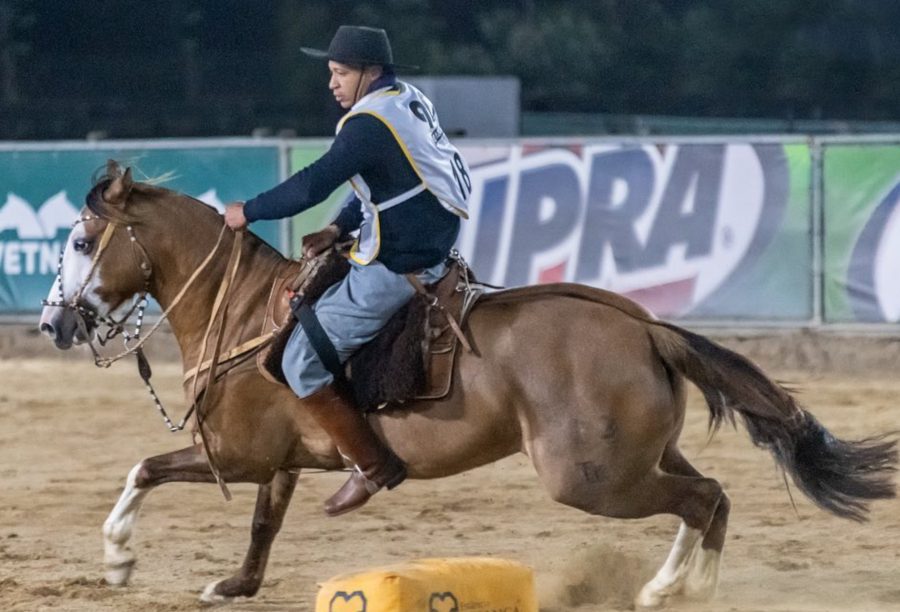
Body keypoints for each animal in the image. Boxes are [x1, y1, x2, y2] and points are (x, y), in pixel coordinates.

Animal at [39, 163, 897, 608]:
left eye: (81, 241)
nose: (53, 323)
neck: (244, 308)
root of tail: (644, 326)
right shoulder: (279, 462)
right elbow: (260, 528)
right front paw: (236, 584)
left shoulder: (240, 454)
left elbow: (144, 469)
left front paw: (118, 559)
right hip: (640, 454)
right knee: (710, 495)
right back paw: (671, 586)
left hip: (589, 476)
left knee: (704, 498)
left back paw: (674, 589)